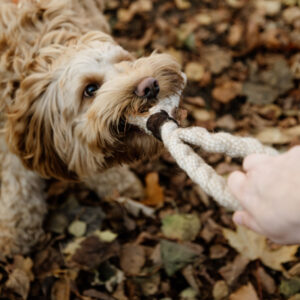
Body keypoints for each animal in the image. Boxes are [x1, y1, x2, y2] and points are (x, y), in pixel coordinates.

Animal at [0, 0, 185, 255]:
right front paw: (17, 229)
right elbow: (17, 181)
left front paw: (118, 184)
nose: (149, 85)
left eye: (124, 61)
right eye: (90, 89)